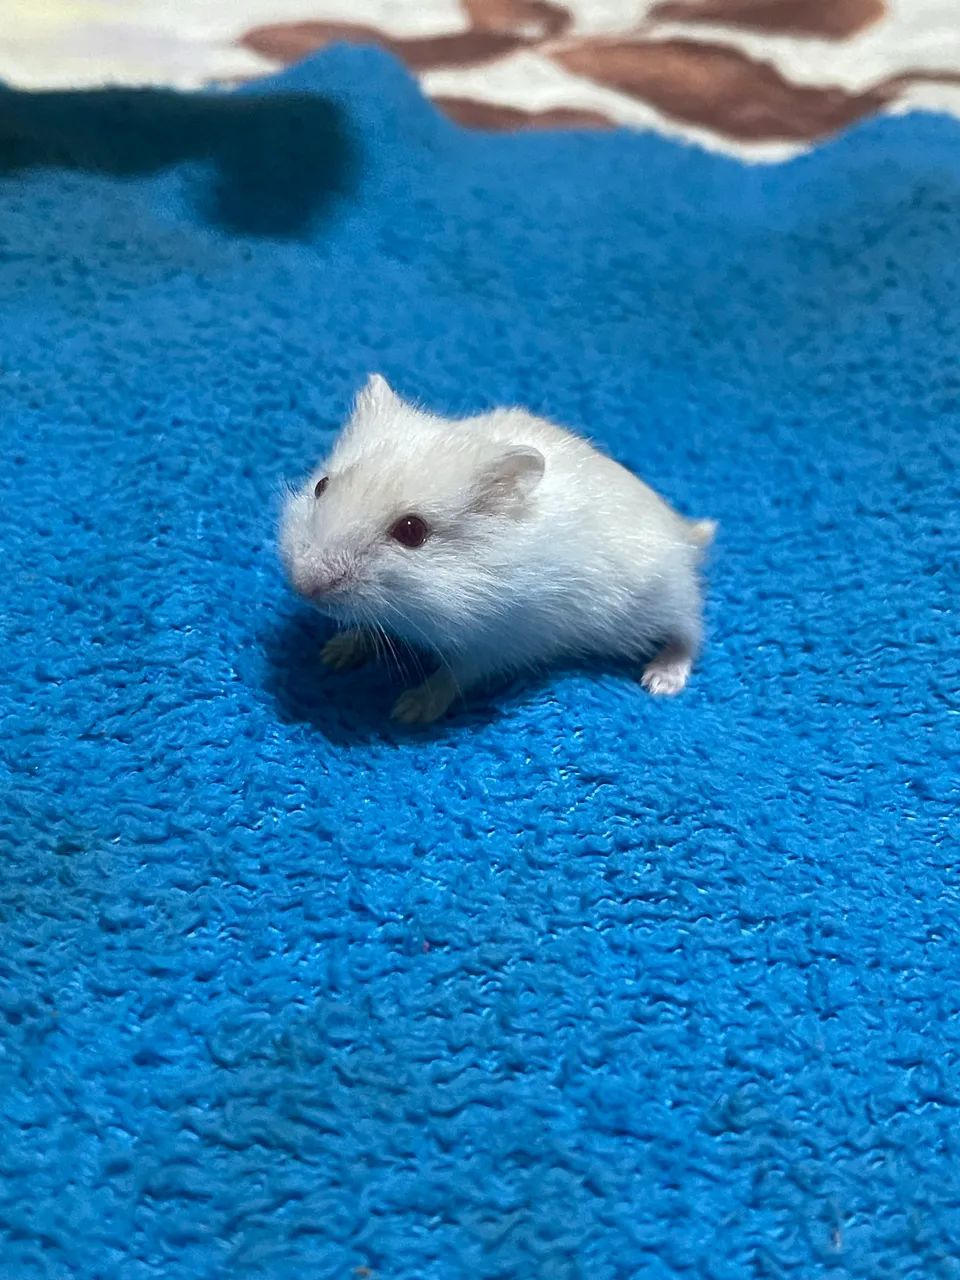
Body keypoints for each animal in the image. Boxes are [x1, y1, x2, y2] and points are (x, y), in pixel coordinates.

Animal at [280, 374, 715, 723]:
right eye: (321, 486)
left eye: (412, 531)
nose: (303, 585)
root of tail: (685, 530)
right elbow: (367, 628)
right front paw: (333, 653)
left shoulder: (495, 642)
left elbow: (453, 676)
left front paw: (408, 712)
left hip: (666, 597)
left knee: (692, 632)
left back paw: (661, 680)